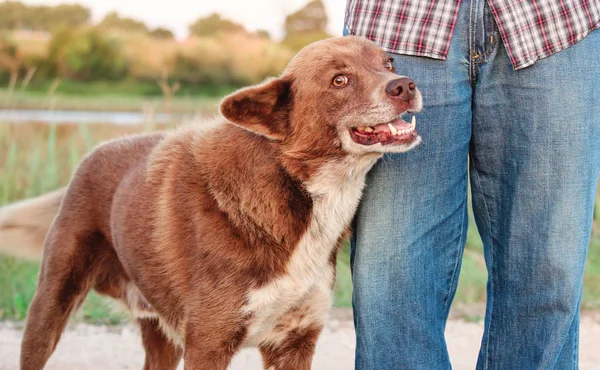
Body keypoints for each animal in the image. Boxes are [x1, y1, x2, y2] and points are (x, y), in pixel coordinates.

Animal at [16, 34, 424, 368]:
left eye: (389, 63)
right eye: (339, 80)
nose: (405, 85)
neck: (294, 183)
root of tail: (93, 153)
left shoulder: (295, 341)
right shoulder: (208, 344)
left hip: (161, 334)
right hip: (50, 305)